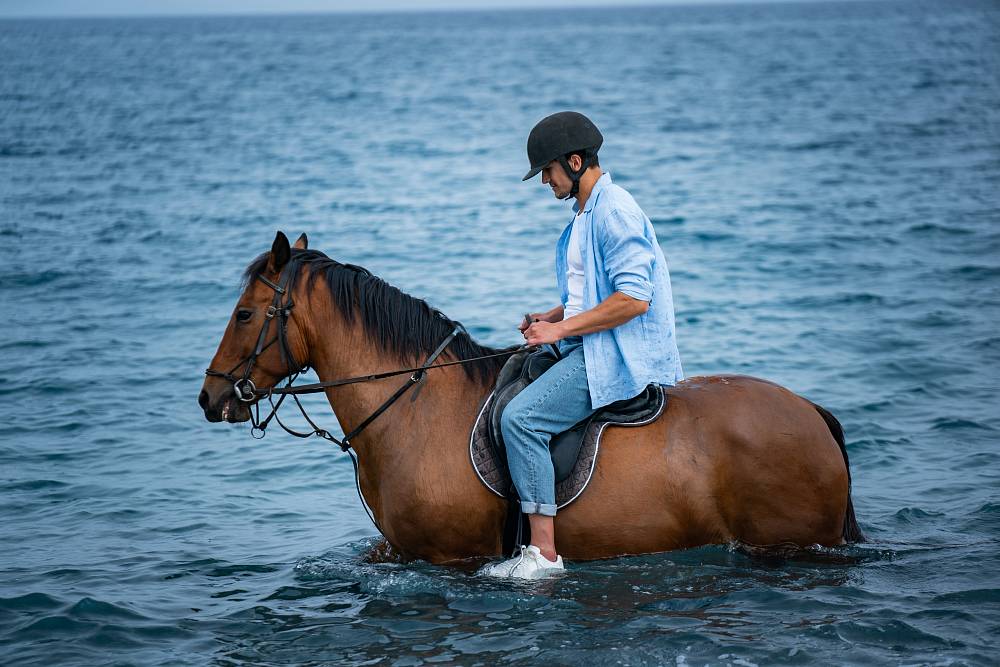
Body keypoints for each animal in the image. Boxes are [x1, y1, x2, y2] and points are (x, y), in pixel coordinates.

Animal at [199, 232, 864, 568]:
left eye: (245, 314)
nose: (210, 397)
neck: (414, 410)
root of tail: (811, 413)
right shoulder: (401, 550)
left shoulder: (449, 558)